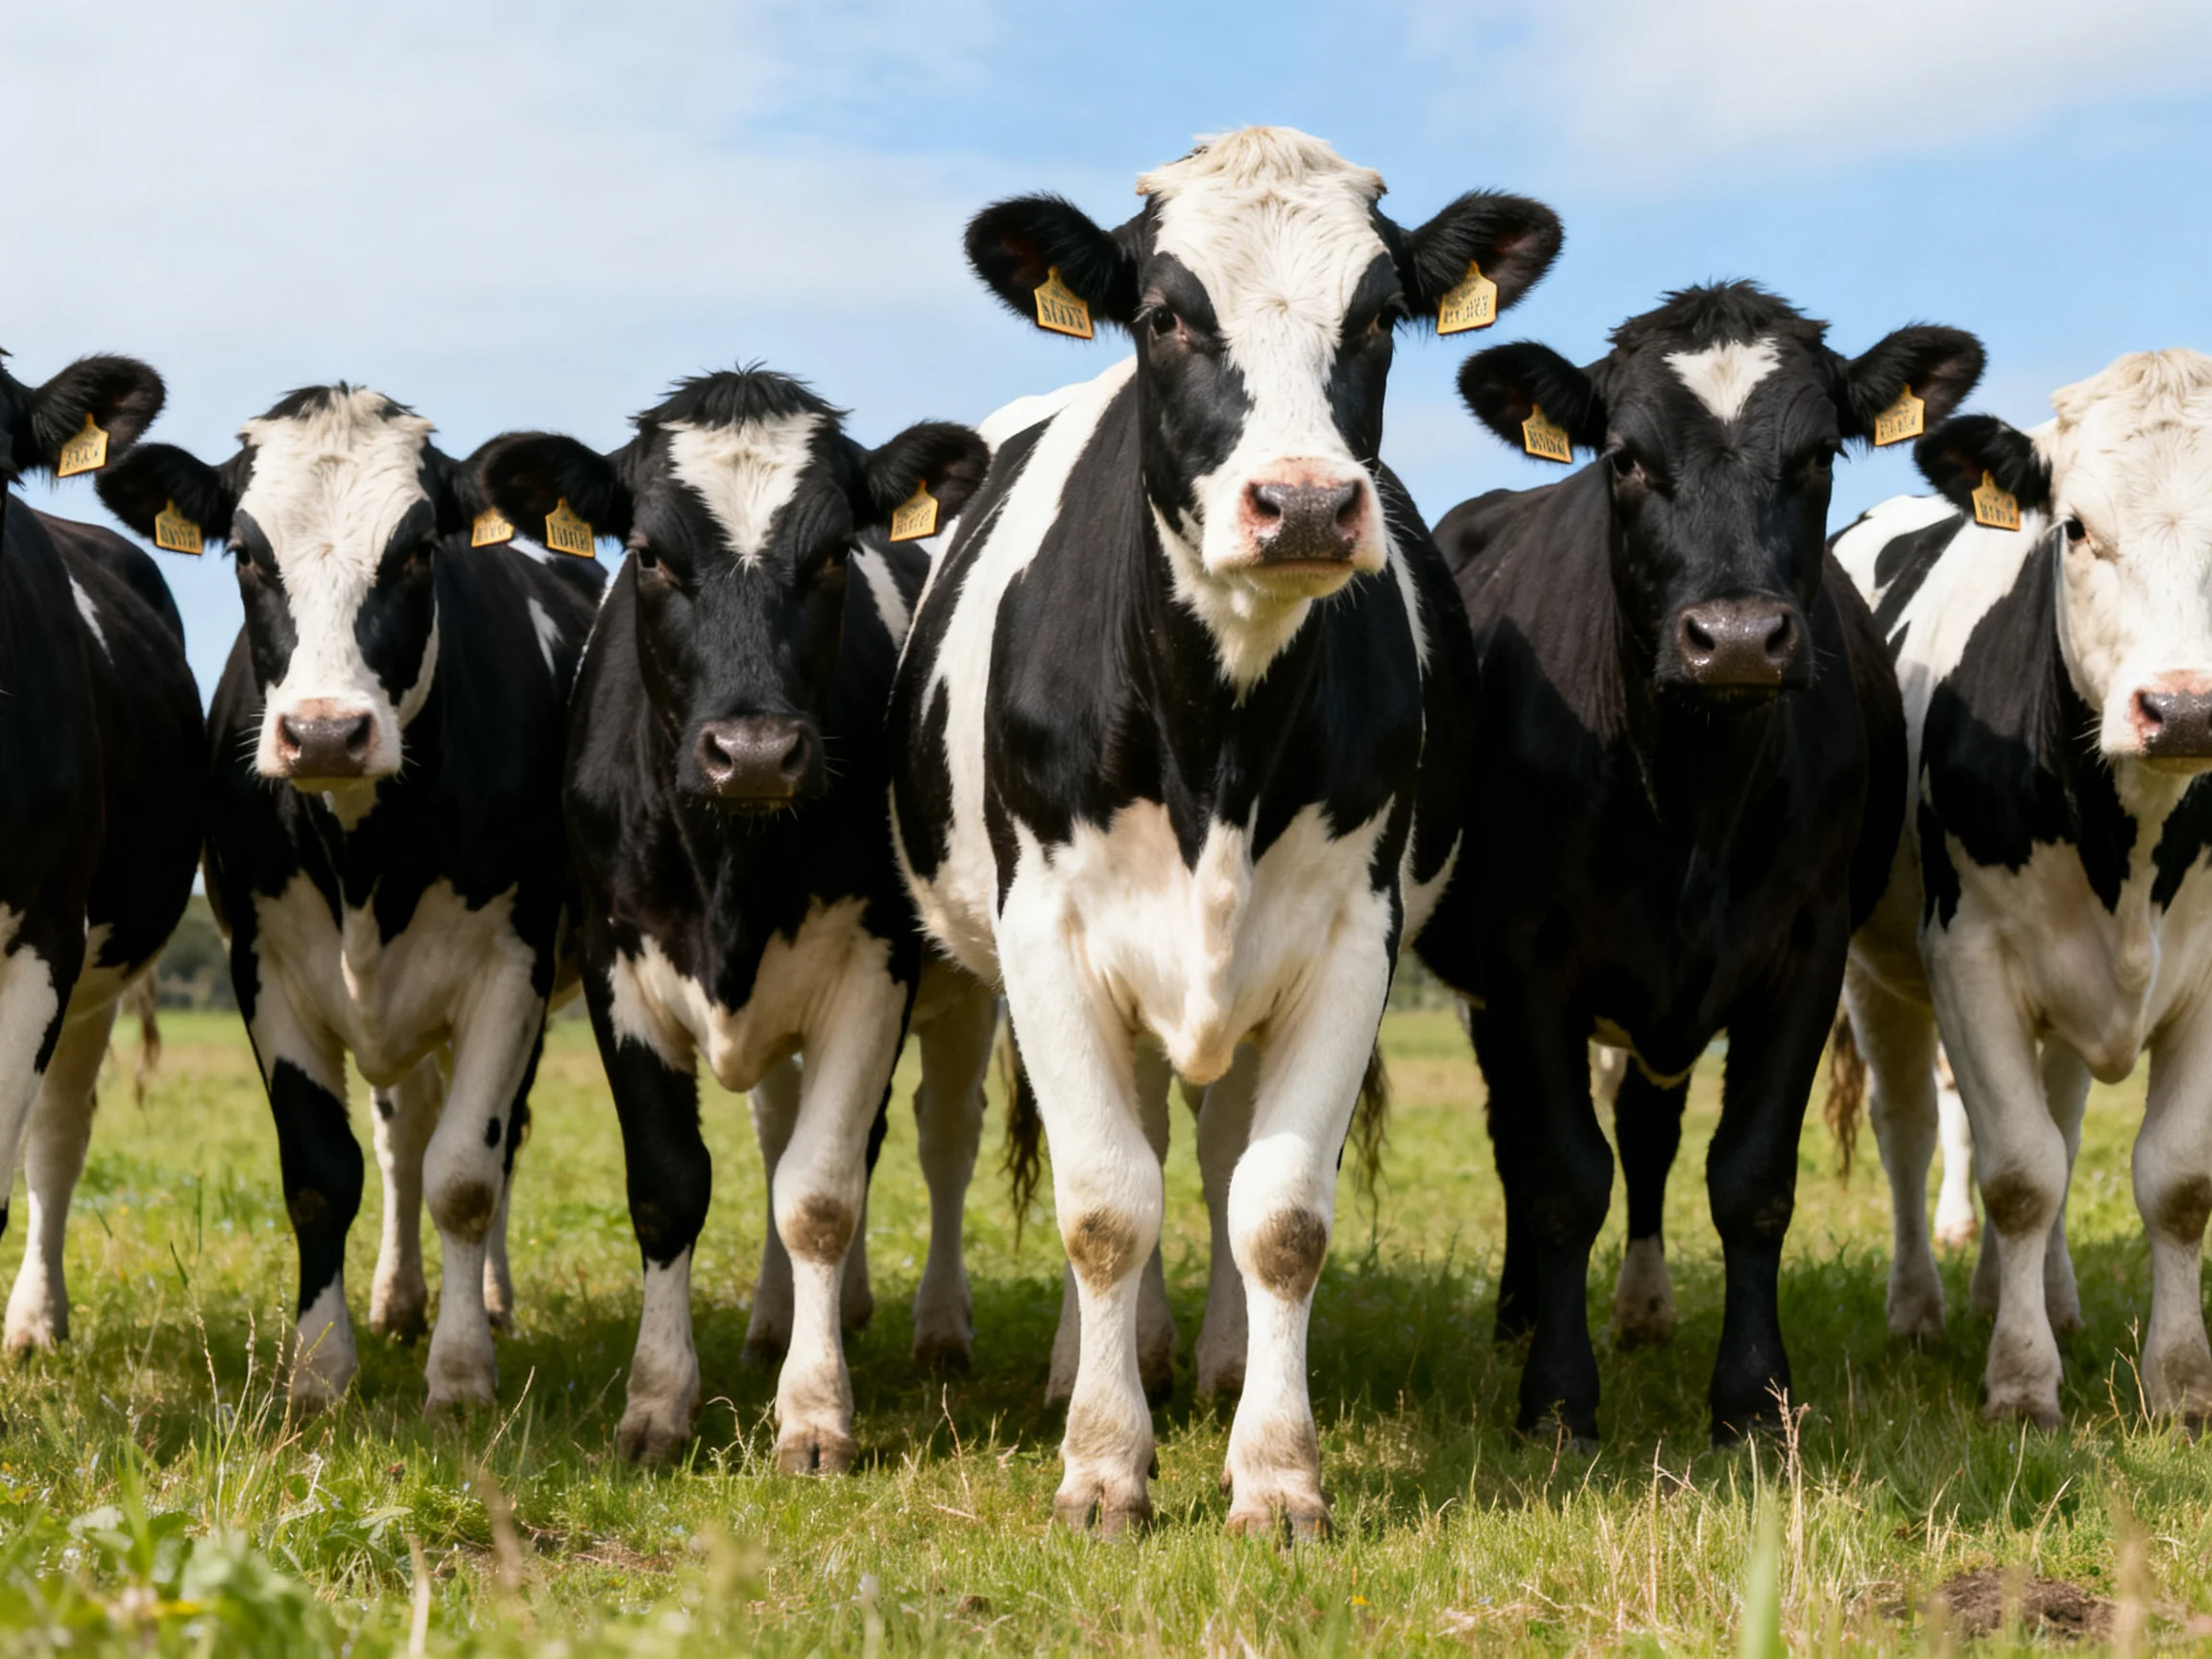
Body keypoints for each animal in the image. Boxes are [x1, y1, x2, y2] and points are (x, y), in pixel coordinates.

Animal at [98, 386, 604, 1413]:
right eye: (247, 555)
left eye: (417, 553)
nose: (327, 732)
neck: (366, 854)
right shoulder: (265, 967)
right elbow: (323, 1173)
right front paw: (320, 1371)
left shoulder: (513, 971)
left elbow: (467, 1175)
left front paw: (461, 1376)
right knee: (404, 1132)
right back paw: (400, 1301)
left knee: (491, 1143)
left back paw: (487, 1302)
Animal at [473, 369, 994, 1471]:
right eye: (649, 554)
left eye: (835, 551)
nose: (753, 752)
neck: (728, 871)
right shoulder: (617, 973)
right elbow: (672, 1186)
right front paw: (658, 1403)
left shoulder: (873, 976)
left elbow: (821, 1196)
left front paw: (816, 1413)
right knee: (782, 1132)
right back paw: (776, 1320)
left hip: (967, 990)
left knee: (939, 1138)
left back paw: (934, 1327)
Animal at [887, 126, 1563, 1538]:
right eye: (1163, 314)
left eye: (1380, 316)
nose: (1300, 505)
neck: (1218, 739)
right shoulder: (1046, 933)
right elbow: (1102, 1203)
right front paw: (1102, 1464)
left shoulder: (1354, 935)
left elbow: (1278, 1212)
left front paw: (1279, 1471)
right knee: (1085, 1142)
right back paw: (1097, 1363)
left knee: (1205, 1148)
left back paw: (1208, 1358)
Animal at [1415, 282, 1982, 1444]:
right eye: (1624, 458)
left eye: (1817, 453)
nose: (1735, 638)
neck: (1693, 798)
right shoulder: (1528, 959)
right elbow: (1559, 1175)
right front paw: (1556, 1399)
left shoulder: (1806, 953)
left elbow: (1749, 1177)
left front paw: (1755, 1401)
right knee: (1517, 1141)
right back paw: (1517, 1313)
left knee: (1648, 1130)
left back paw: (1642, 1310)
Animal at [1833, 349, 2212, 1427]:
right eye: (2073, 528)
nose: (2184, 709)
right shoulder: (1967, 960)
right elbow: (2016, 1175)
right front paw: (2020, 1381)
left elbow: (2174, 1180)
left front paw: (2180, 1385)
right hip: (1874, 974)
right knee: (1912, 1130)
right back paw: (1921, 1310)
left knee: (2062, 1122)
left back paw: (2042, 1296)